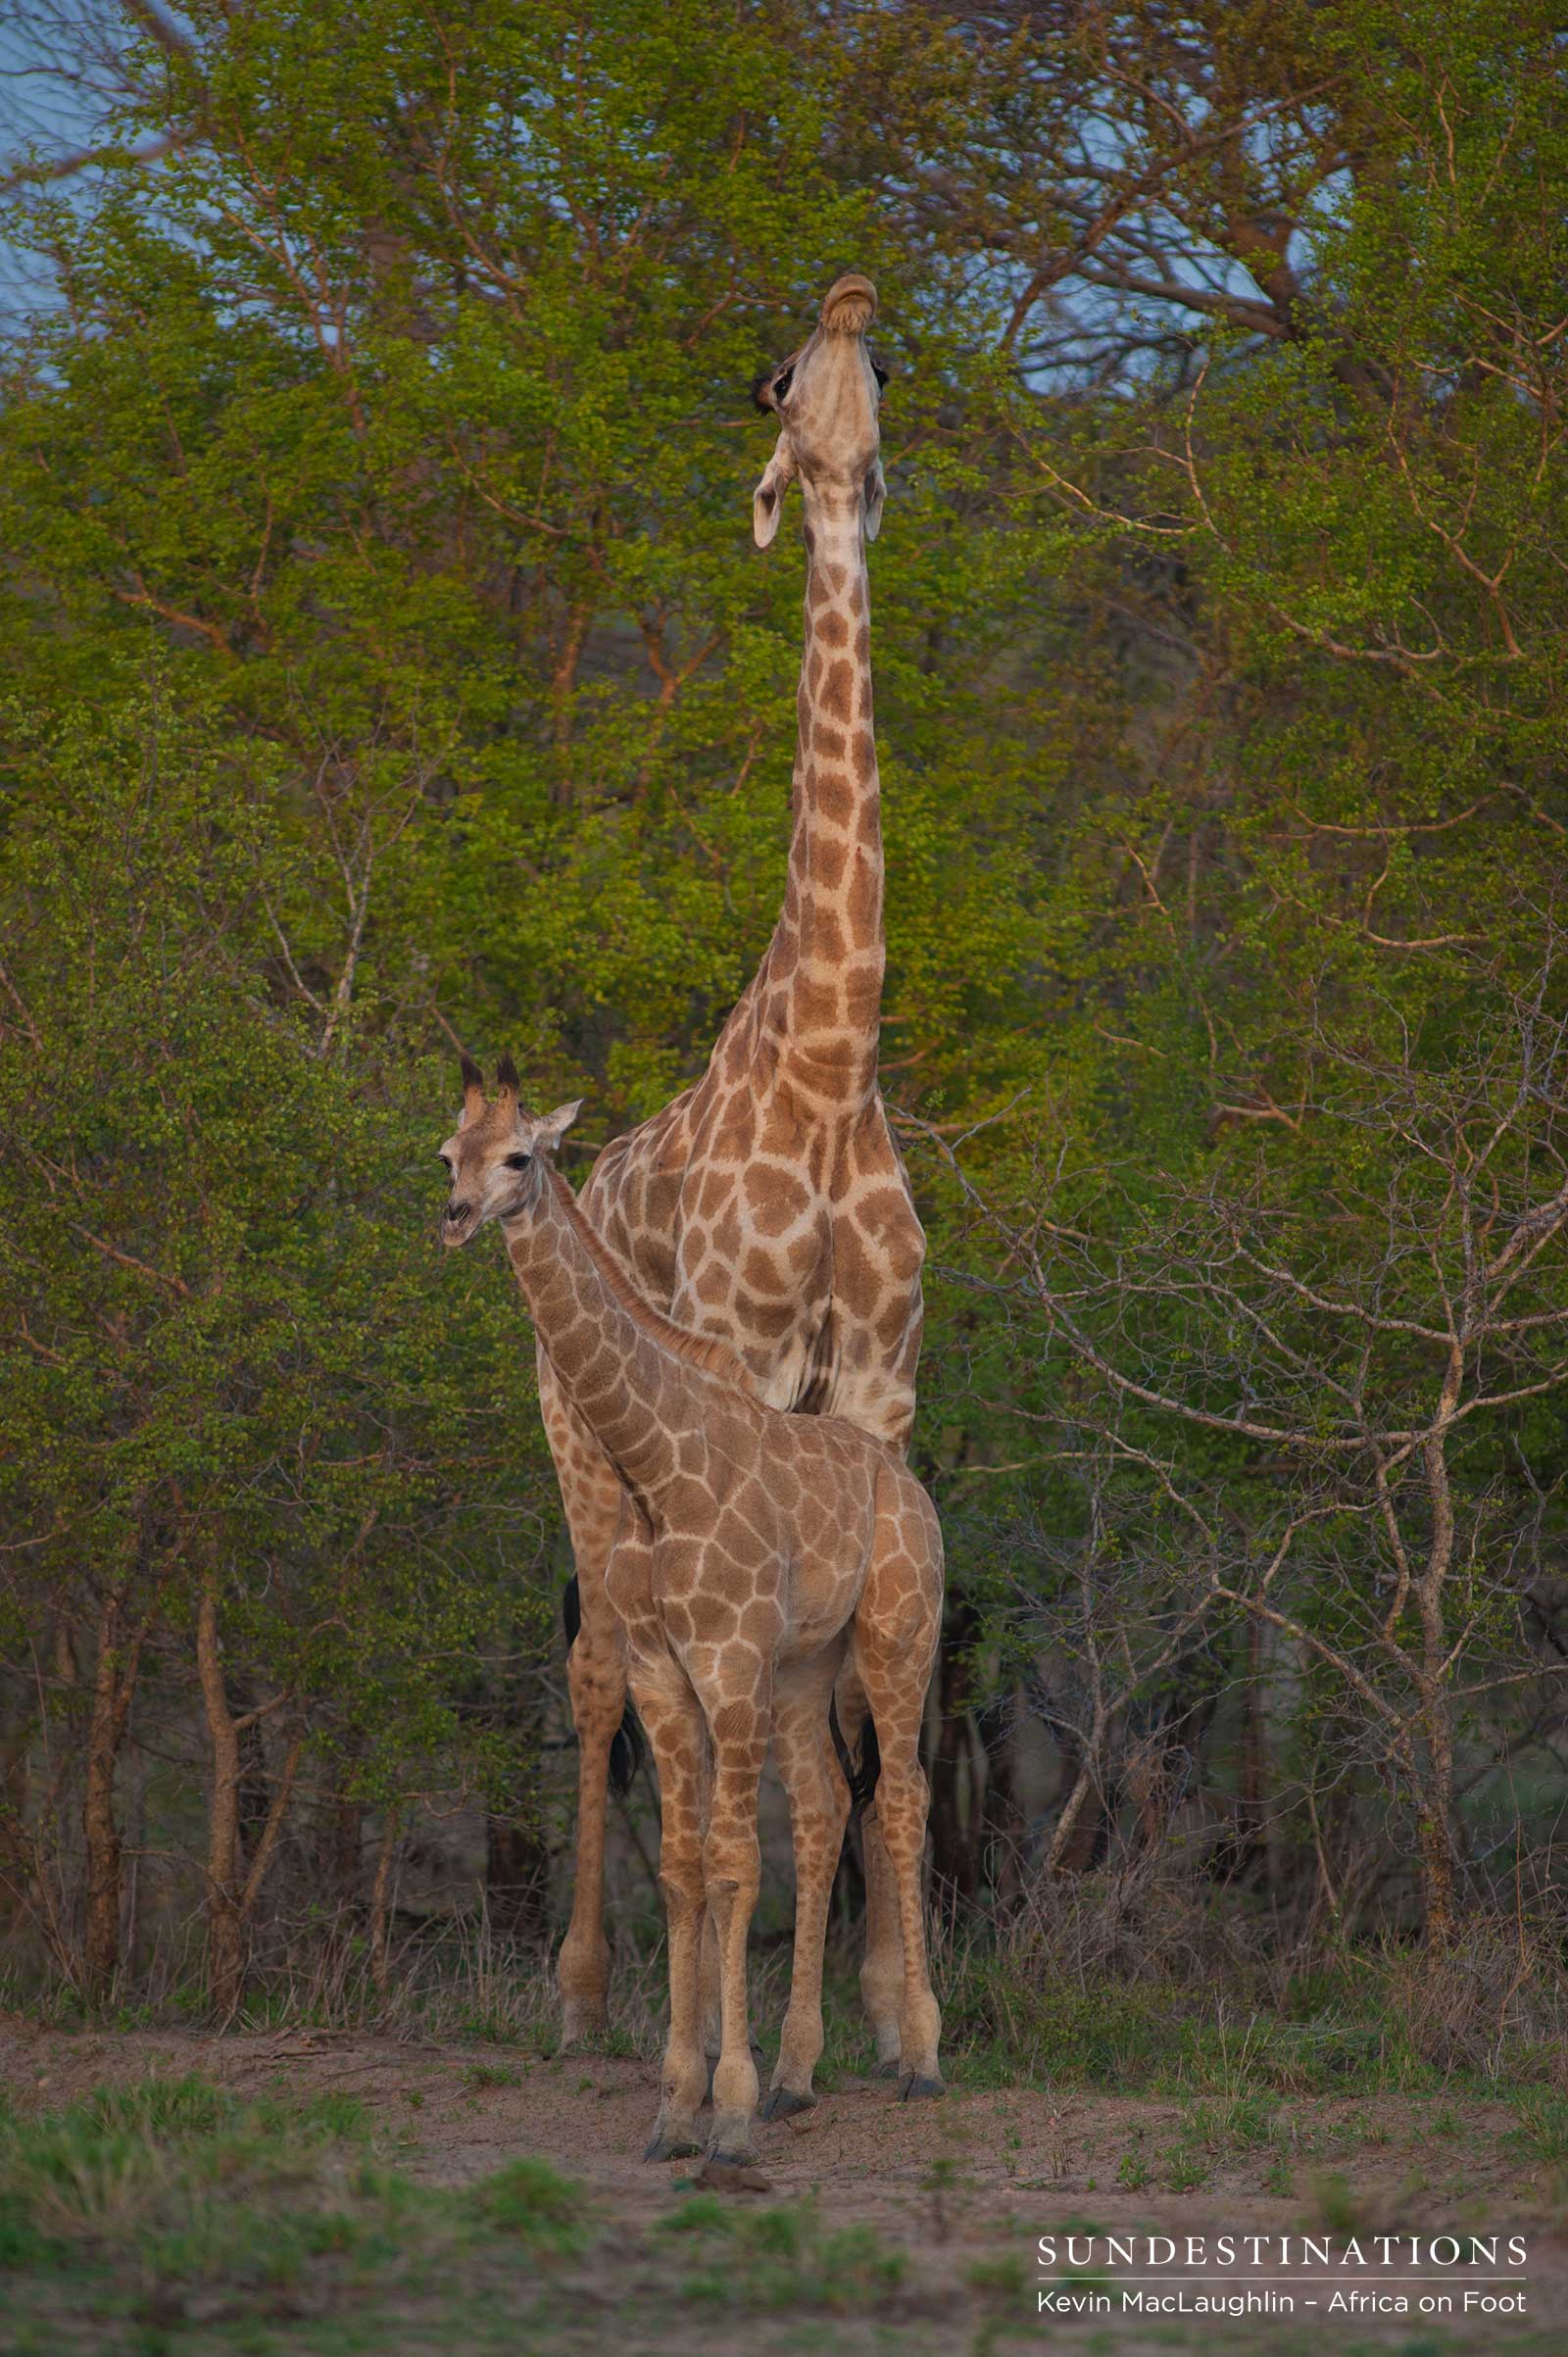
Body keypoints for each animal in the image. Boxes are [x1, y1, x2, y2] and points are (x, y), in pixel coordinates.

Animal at [439, 1062, 944, 2163]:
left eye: (520, 1157)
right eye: (446, 1153)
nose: (454, 1215)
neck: (653, 1466)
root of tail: (906, 1479)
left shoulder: (728, 1660)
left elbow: (732, 1863)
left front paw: (732, 2111)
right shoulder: (665, 1673)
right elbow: (681, 1867)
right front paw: (680, 2106)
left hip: (898, 1638)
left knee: (902, 1797)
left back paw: (922, 2058)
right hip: (804, 1668)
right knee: (825, 1805)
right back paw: (800, 2073)